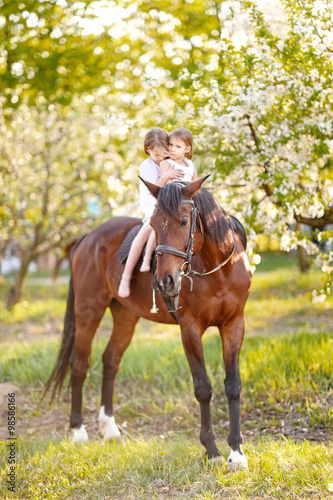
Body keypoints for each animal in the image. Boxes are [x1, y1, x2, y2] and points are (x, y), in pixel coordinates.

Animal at [44, 177, 252, 472]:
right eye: (153, 224)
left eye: (184, 221)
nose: (164, 281)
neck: (219, 270)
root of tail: (88, 236)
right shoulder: (190, 330)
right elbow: (203, 388)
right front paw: (211, 450)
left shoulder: (234, 325)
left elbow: (233, 385)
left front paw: (236, 453)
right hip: (88, 312)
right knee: (79, 365)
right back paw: (79, 432)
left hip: (125, 316)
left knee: (110, 360)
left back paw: (110, 429)